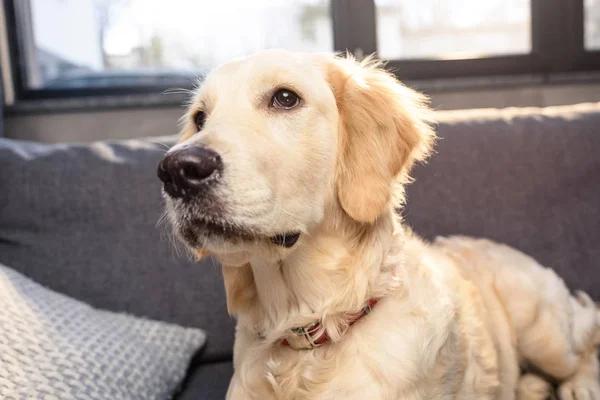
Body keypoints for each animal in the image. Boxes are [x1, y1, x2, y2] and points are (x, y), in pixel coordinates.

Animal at [158, 50, 600, 400]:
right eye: (200, 117)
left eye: (285, 98)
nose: (176, 170)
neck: (308, 330)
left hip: (542, 330)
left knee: (585, 348)